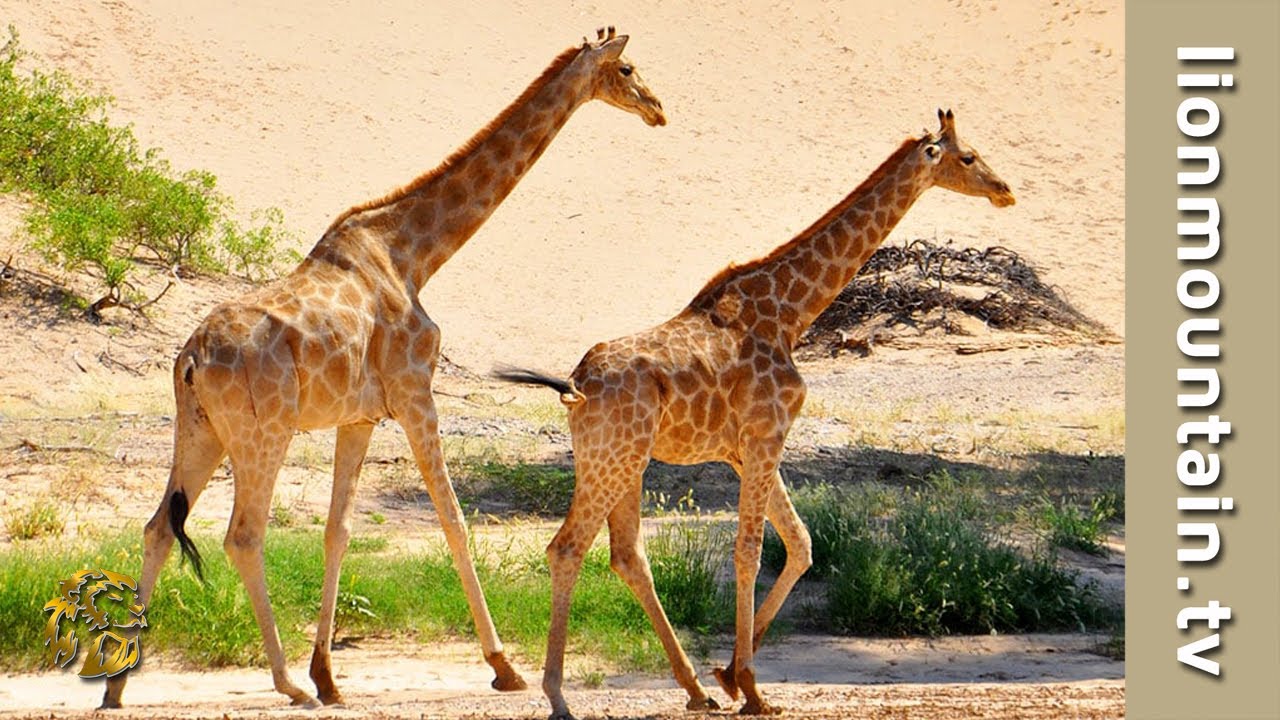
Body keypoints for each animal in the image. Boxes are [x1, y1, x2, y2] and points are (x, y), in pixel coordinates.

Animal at [99, 27, 665, 710]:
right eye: (627, 69)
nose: (659, 109)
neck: (415, 253)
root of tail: (189, 358)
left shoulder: (360, 418)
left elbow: (337, 531)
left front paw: (330, 674)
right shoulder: (417, 393)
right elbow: (454, 520)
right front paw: (504, 667)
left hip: (201, 430)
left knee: (159, 527)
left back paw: (118, 686)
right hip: (262, 434)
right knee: (243, 535)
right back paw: (287, 684)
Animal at [496, 109, 1014, 718]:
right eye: (968, 157)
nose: (1005, 190)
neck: (791, 310)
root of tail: (575, 384)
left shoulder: (745, 448)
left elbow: (801, 544)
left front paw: (727, 676)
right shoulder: (769, 432)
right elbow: (750, 549)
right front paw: (751, 686)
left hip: (620, 460)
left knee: (627, 555)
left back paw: (695, 689)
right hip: (615, 459)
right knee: (568, 548)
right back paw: (558, 696)